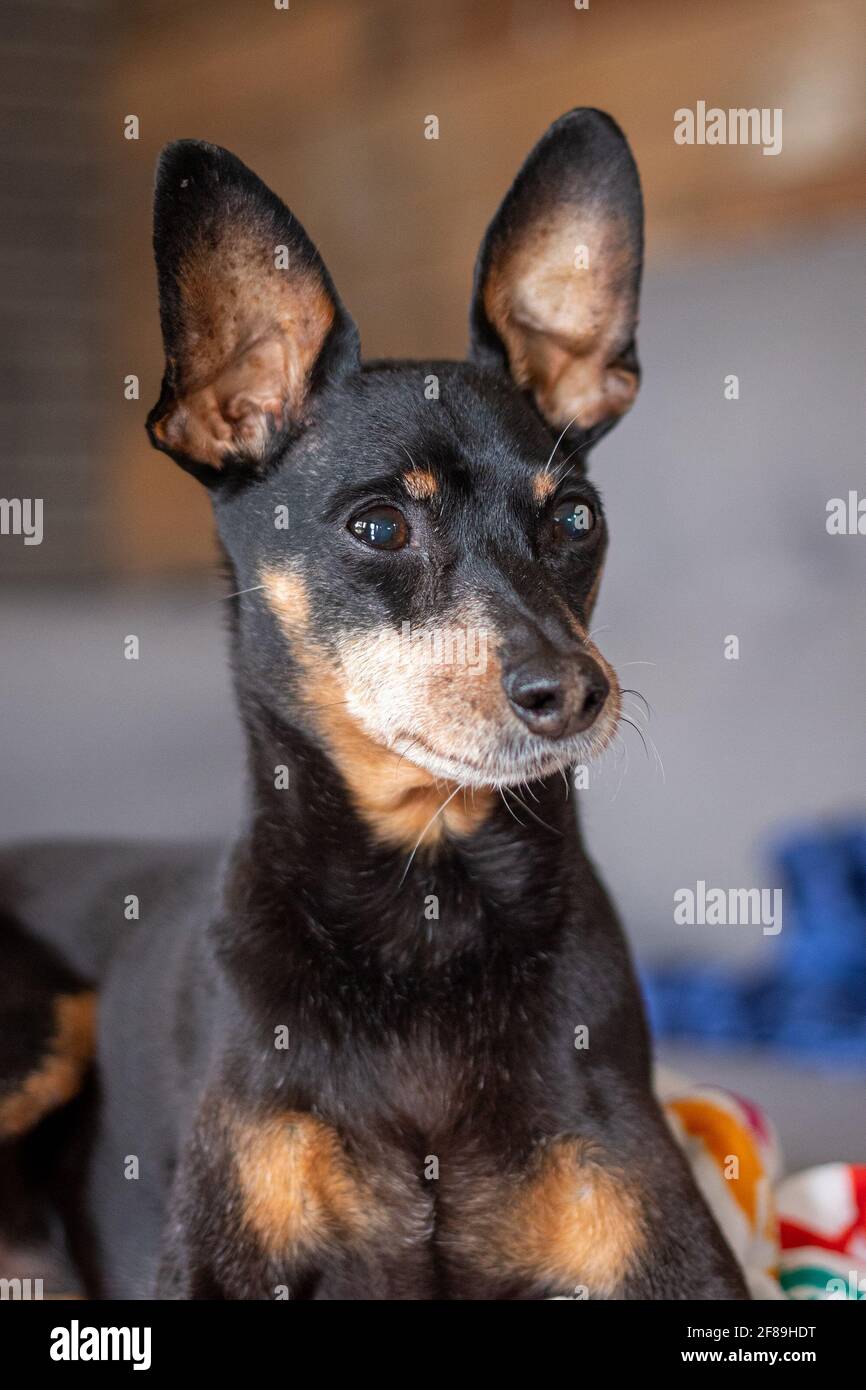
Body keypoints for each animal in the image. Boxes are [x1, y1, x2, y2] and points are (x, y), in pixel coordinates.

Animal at [0, 111, 745, 1301]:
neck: (426, 901)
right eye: (381, 526)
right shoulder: (218, 1258)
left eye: (575, 519)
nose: (574, 691)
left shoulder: (668, 1247)